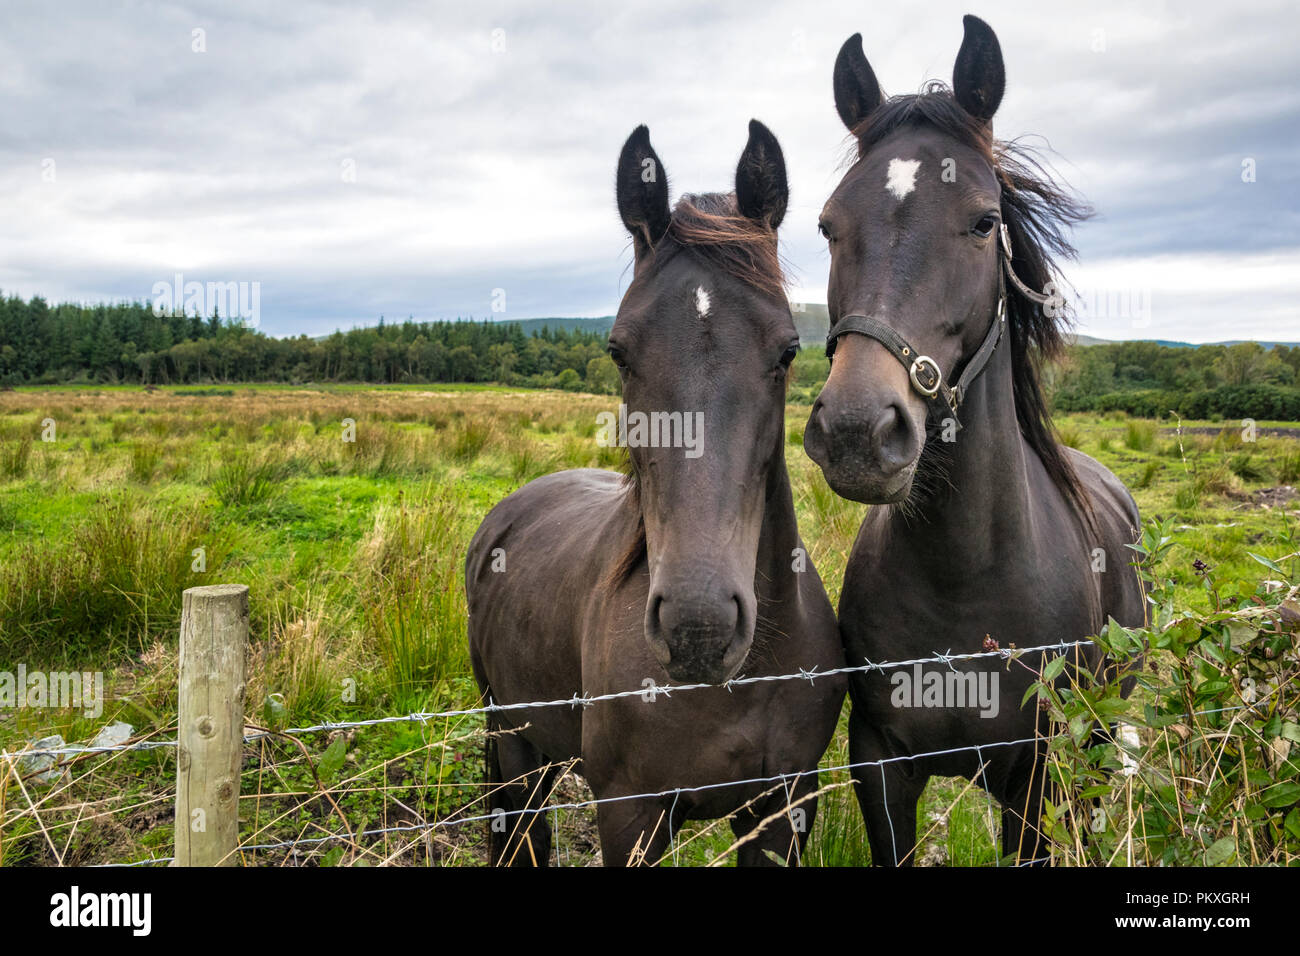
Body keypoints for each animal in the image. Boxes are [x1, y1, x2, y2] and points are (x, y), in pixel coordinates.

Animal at [466, 120, 846, 866]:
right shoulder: (630, 814)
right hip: (513, 743)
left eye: (789, 351)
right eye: (618, 351)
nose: (699, 626)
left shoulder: (785, 806)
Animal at [801, 16, 1146, 865]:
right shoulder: (880, 764)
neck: (963, 573)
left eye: (985, 222)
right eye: (827, 224)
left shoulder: (1039, 772)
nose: (857, 430)